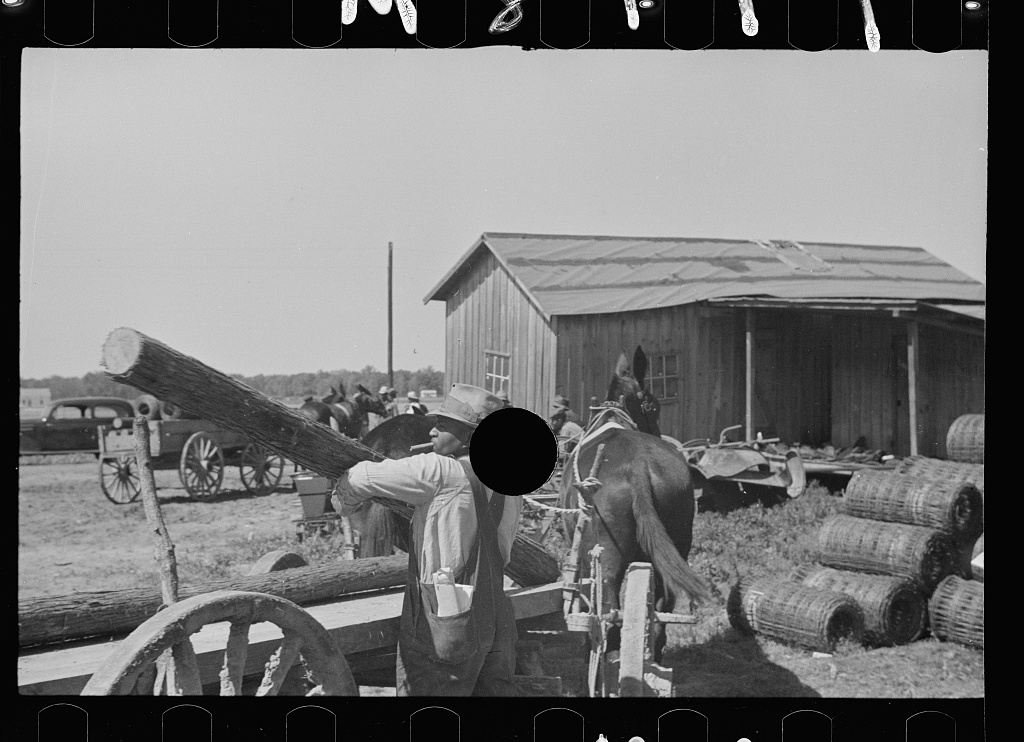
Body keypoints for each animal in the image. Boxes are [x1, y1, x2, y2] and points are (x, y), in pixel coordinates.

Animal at [558, 345, 712, 660]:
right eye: (653, 407)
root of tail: (638, 467)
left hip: (607, 557)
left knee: (607, 612)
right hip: (676, 543)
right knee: (662, 610)